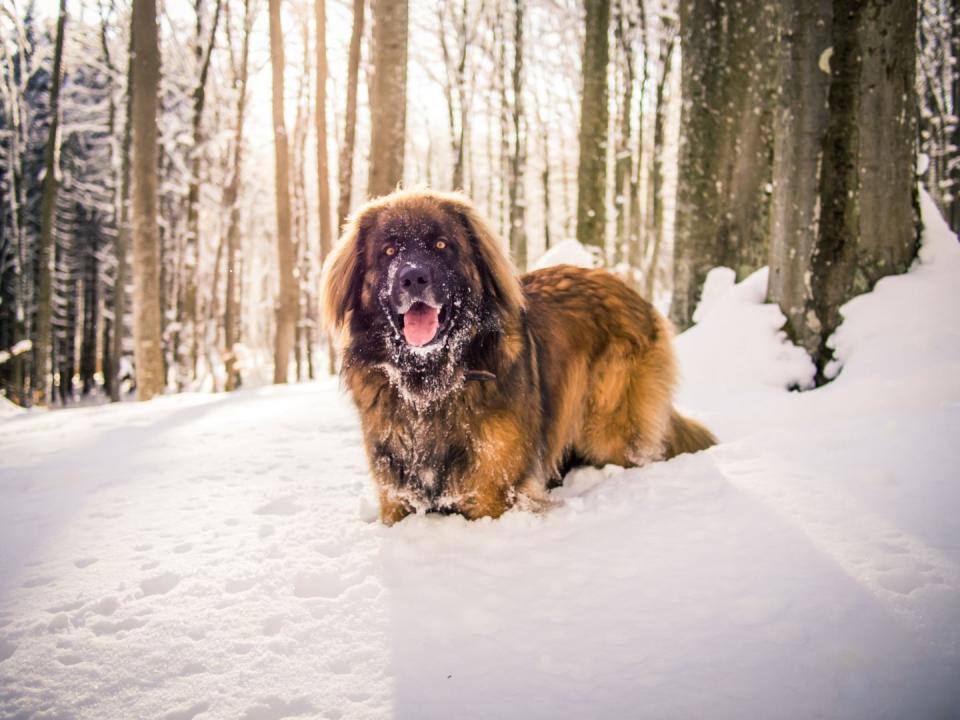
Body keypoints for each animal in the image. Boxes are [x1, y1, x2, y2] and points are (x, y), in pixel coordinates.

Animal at [318, 187, 716, 524]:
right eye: (388, 251)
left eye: (441, 244)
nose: (413, 279)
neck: (431, 383)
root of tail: (631, 291)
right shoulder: (396, 497)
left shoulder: (493, 497)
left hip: (610, 428)